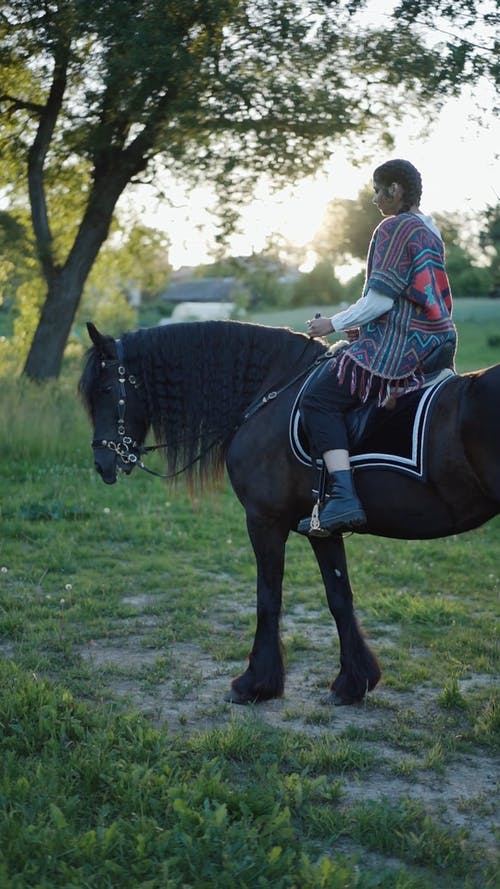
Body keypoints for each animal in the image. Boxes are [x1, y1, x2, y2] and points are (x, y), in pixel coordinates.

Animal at [79, 318, 500, 700]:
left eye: (105, 389)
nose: (101, 463)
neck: (273, 392)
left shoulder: (264, 520)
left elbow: (268, 597)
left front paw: (255, 683)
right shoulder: (322, 527)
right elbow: (339, 597)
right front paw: (354, 682)